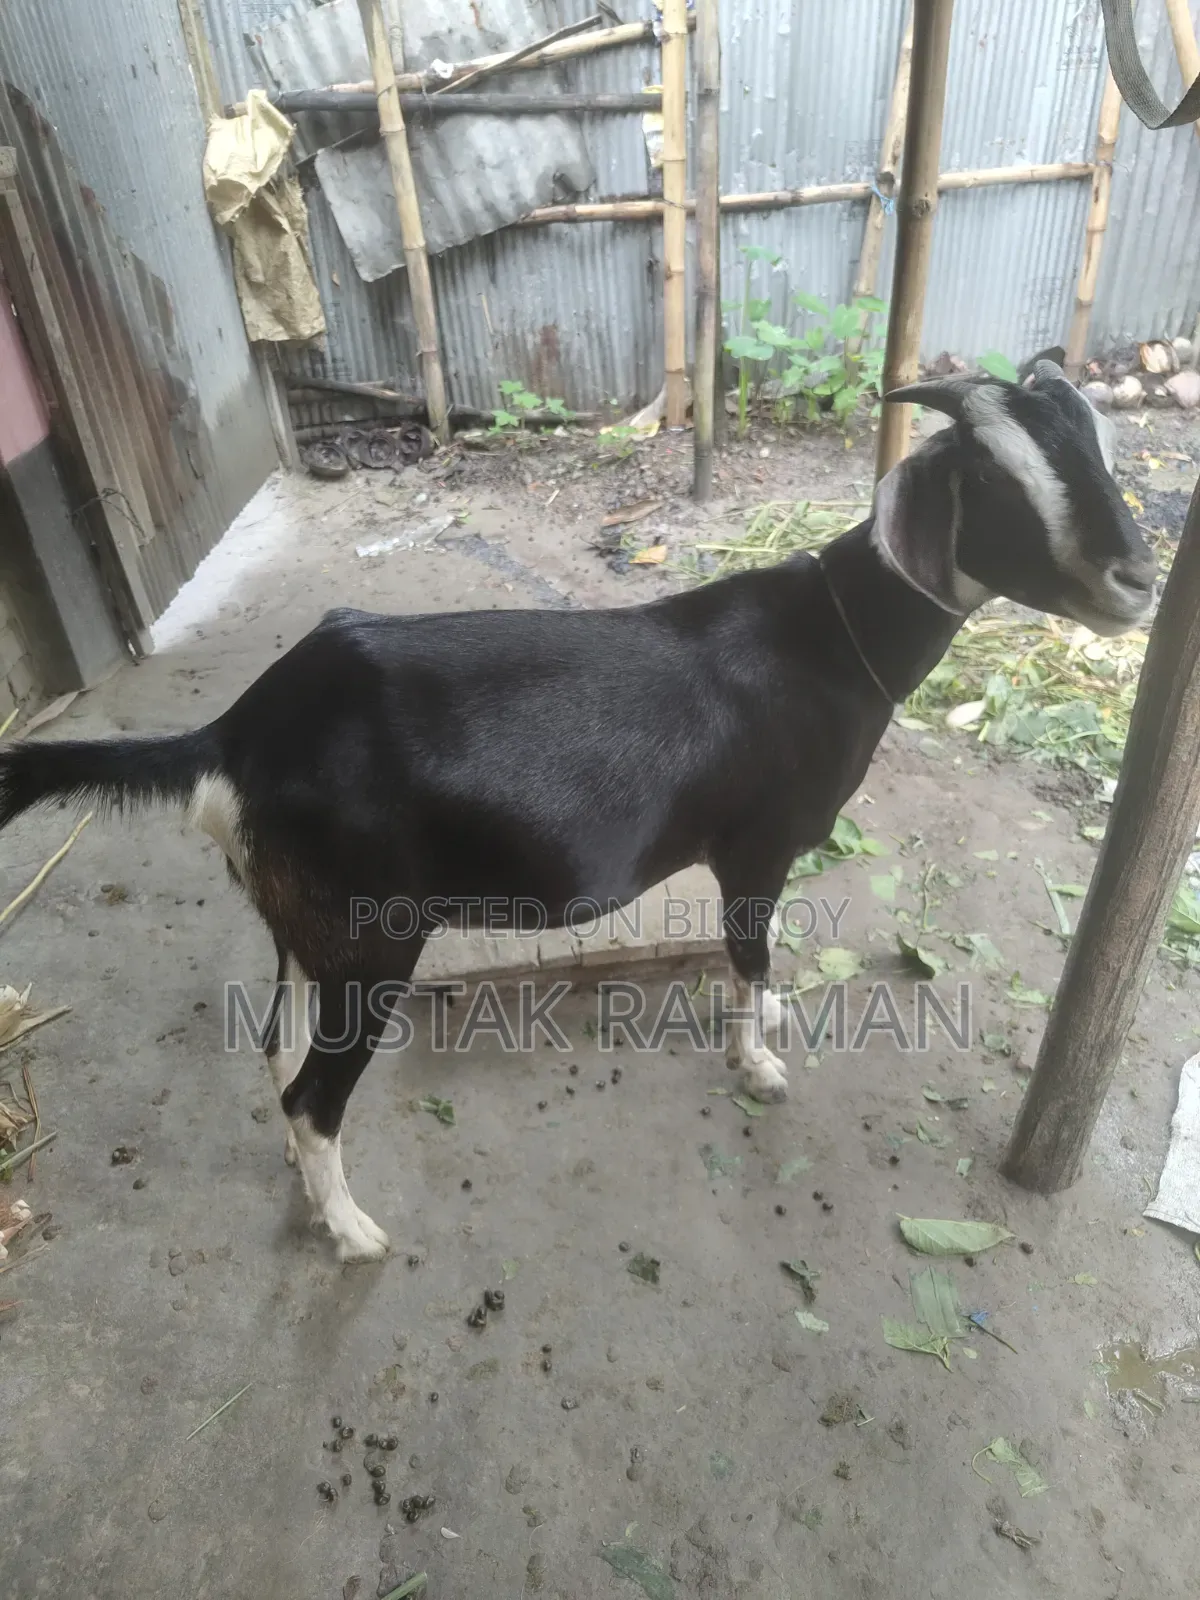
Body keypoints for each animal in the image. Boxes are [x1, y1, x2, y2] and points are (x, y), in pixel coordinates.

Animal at [0, 363, 1155, 1261]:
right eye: (996, 478)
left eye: (1099, 451)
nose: (1138, 577)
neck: (831, 641)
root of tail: (235, 738)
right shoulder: (755, 845)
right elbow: (749, 954)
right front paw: (759, 1063)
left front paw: (775, 1023)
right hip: (371, 935)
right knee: (310, 1093)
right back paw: (355, 1232)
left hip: (300, 923)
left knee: (275, 1055)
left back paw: (309, 1187)